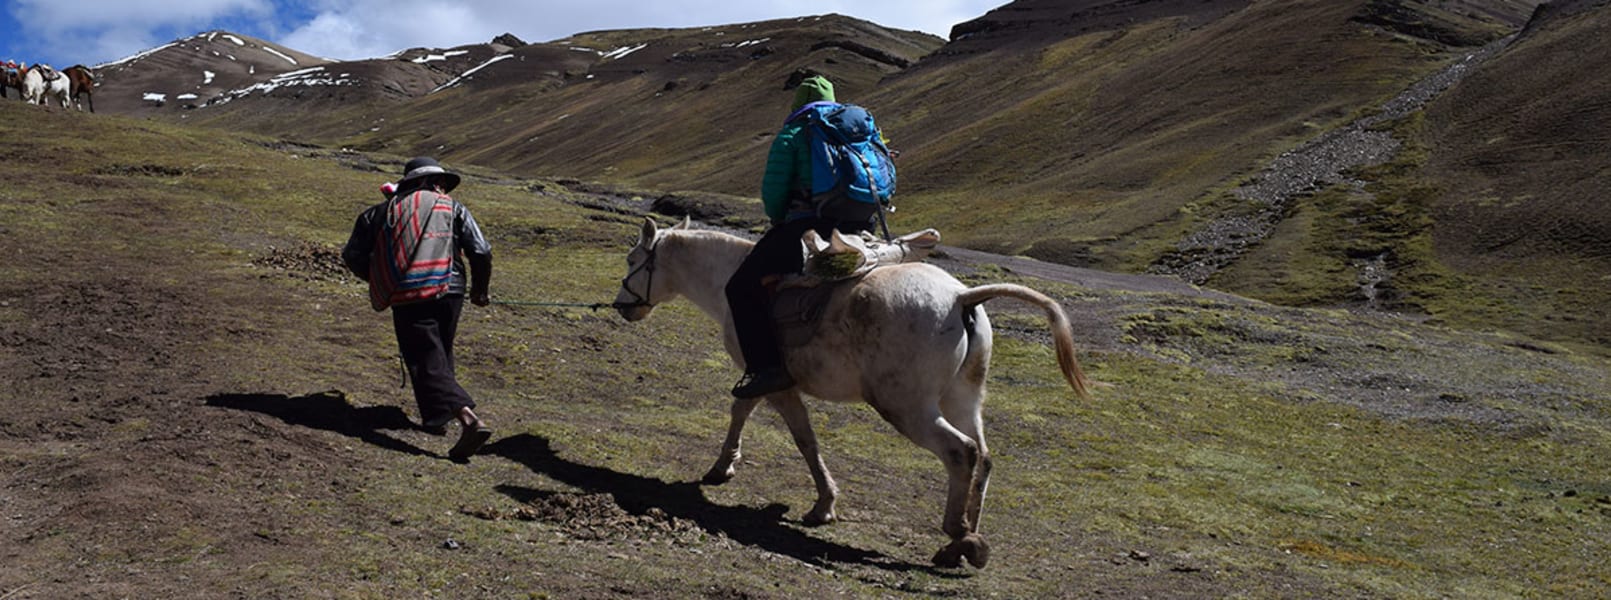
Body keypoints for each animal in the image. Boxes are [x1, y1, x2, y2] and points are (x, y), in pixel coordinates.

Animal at [615, 217, 1095, 570]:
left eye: (633, 258)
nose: (622, 306)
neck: (728, 283)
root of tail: (962, 296)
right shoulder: (764, 379)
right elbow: (743, 410)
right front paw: (723, 467)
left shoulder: (773, 379)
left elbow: (800, 436)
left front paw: (821, 504)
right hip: (963, 398)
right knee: (985, 456)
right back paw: (959, 545)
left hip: (908, 407)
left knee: (961, 452)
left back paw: (959, 535)